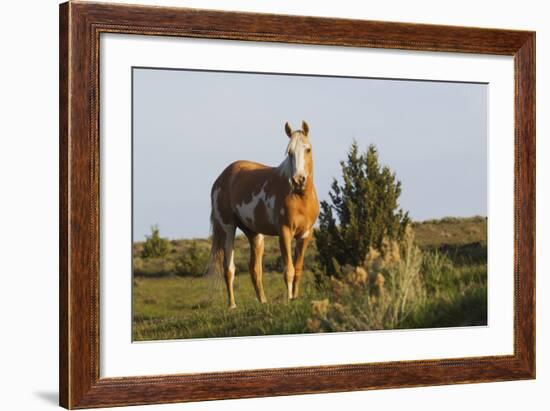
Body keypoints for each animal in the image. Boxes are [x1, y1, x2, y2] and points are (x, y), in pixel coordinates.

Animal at [207, 121, 322, 308]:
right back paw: (232, 305)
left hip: (255, 234)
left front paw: (295, 297)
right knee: (229, 268)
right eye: (290, 152)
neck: (300, 198)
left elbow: (298, 269)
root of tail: (222, 178)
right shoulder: (284, 232)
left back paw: (262, 302)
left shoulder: (305, 234)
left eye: (308, 149)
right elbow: (288, 270)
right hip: (227, 228)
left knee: (255, 269)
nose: (298, 180)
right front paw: (289, 300)